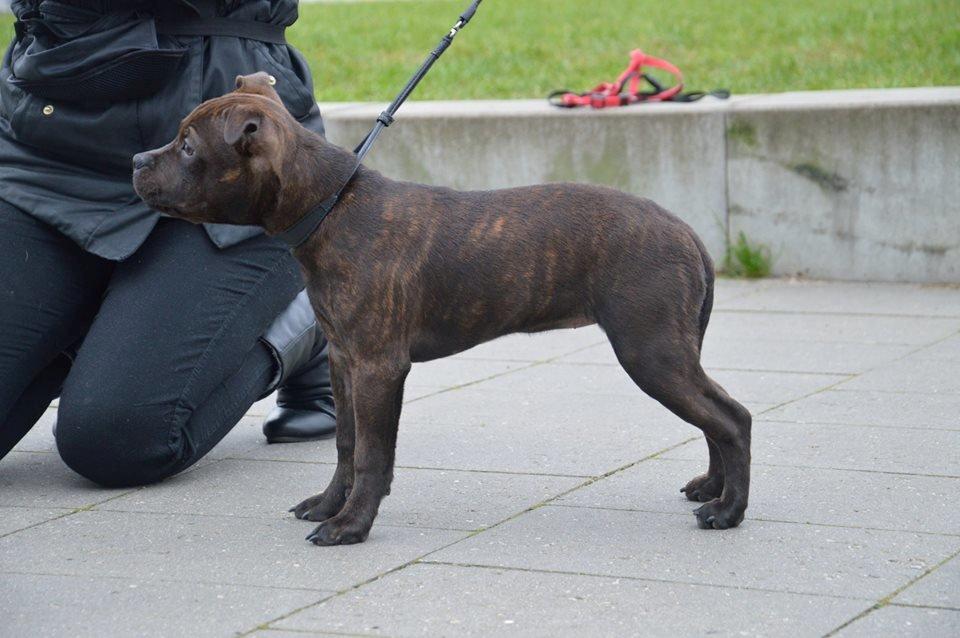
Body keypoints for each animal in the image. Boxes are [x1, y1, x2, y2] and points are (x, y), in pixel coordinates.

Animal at [133, 74, 752, 544]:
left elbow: (372, 454)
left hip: (650, 351)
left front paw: (351, 527)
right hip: (671, 353)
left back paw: (728, 511)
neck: (331, 206)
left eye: (188, 146)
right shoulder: (344, 360)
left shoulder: (378, 367)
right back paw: (712, 489)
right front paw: (329, 505)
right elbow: (346, 444)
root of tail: (686, 232)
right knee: (716, 417)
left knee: (730, 418)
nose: (136, 158)